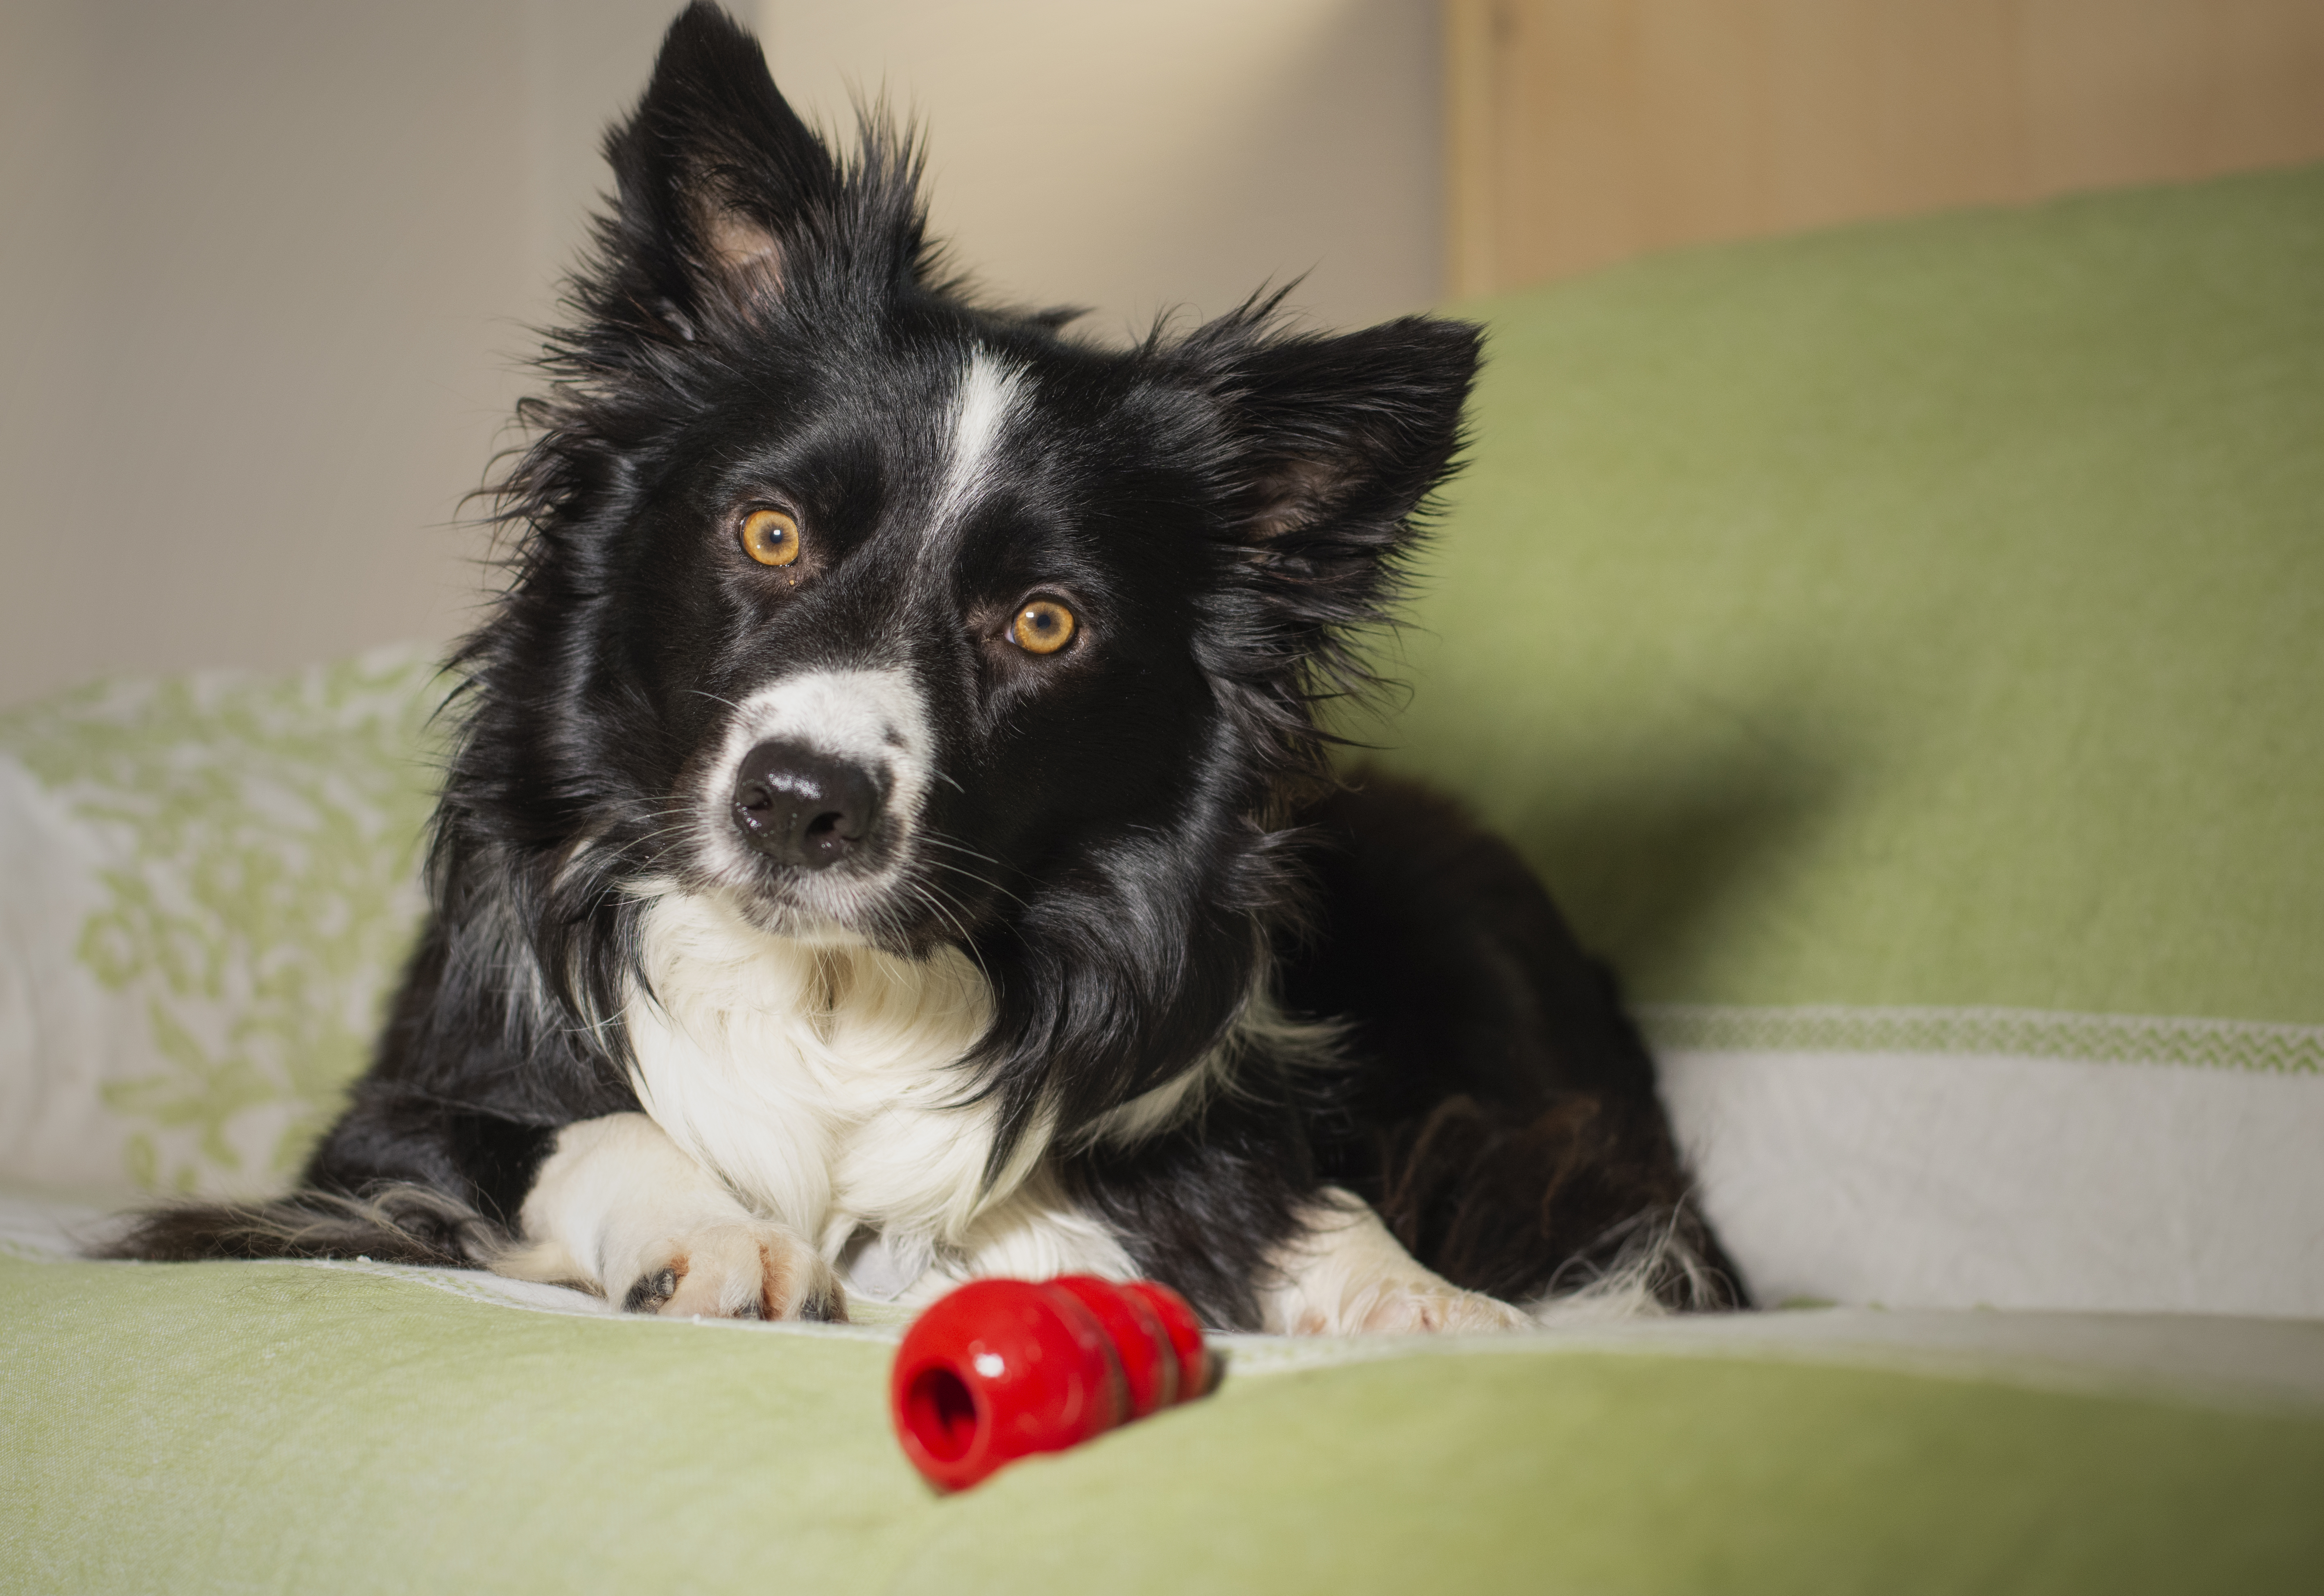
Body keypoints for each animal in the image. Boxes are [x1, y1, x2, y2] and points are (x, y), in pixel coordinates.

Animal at [118, 3, 1738, 1338]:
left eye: (1043, 624)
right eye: (769, 530)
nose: (798, 803)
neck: (836, 997)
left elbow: (1291, 1191)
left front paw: (1417, 1294)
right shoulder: (383, 1127)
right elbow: (581, 1128)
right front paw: (720, 1229)